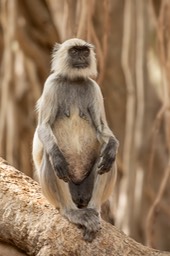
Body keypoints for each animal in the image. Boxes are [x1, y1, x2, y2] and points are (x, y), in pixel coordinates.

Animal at [32, 38, 119, 242]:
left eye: (84, 51)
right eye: (74, 51)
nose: (81, 57)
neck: (73, 81)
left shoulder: (94, 87)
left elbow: (102, 129)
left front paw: (112, 147)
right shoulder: (51, 84)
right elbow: (43, 128)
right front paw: (57, 157)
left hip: (86, 189)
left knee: (106, 157)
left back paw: (94, 210)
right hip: (54, 194)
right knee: (50, 155)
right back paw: (71, 212)